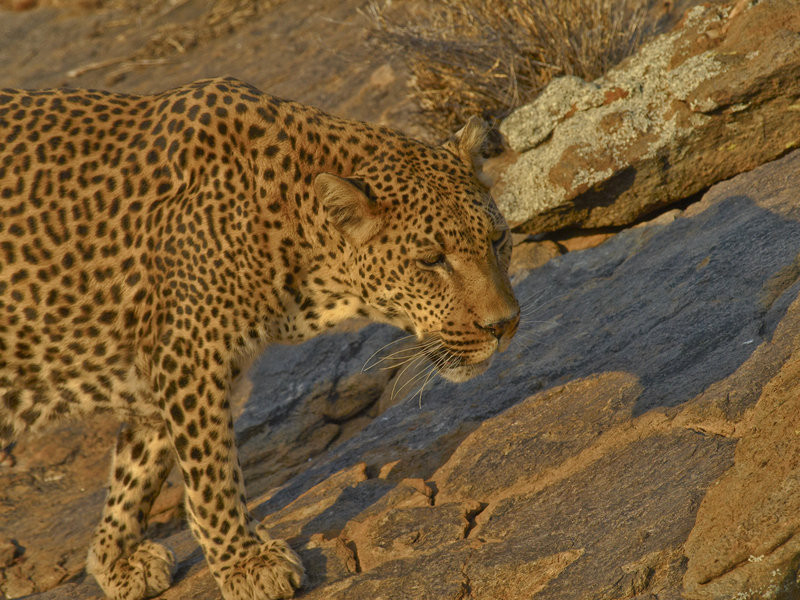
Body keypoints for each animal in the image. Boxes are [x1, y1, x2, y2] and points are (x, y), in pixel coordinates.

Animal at [0, 77, 520, 599]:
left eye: (498, 239)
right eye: (431, 260)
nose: (504, 325)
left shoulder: (161, 367)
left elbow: (139, 466)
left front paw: (115, 558)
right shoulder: (189, 354)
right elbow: (212, 473)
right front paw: (244, 562)